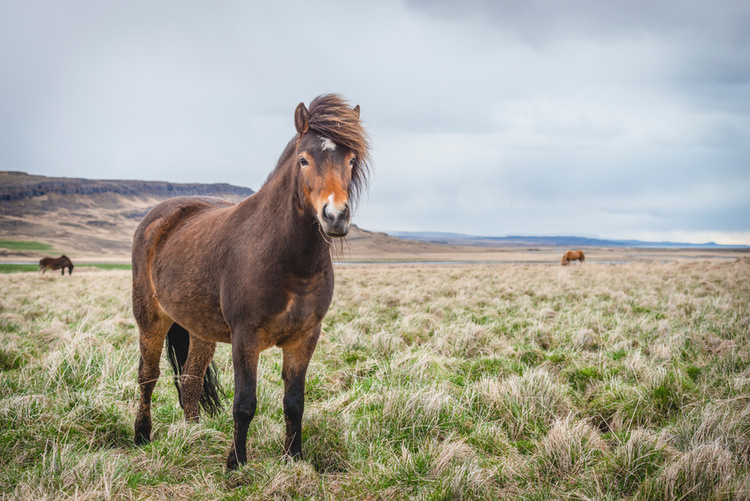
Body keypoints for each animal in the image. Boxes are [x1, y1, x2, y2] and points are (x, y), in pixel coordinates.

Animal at [133, 94, 374, 468]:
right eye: (304, 160)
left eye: (351, 160)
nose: (335, 216)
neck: (288, 259)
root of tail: (159, 217)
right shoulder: (245, 337)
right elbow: (244, 403)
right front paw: (237, 463)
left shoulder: (305, 337)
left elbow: (295, 402)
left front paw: (293, 457)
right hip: (151, 319)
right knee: (149, 376)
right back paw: (142, 437)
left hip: (200, 330)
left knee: (190, 379)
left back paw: (193, 436)